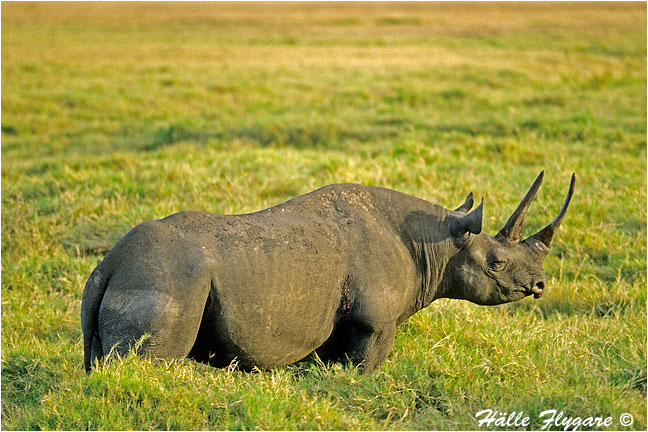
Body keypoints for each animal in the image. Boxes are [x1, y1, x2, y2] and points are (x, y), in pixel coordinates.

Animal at [81, 171, 575, 373]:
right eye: (497, 263)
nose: (539, 285)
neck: (438, 243)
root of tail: (109, 263)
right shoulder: (375, 323)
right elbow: (365, 367)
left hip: (134, 275)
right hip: (167, 278)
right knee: (148, 363)